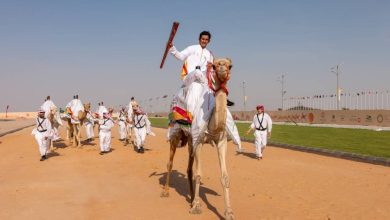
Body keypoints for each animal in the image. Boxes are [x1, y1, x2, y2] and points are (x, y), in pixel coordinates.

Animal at [161, 57, 235, 219]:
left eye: (230, 65)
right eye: (214, 65)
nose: (222, 68)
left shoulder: (221, 141)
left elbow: (225, 177)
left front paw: (229, 212)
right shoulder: (199, 141)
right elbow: (199, 174)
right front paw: (196, 206)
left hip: (190, 141)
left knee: (189, 169)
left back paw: (190, 197)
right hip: (176, 133)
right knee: (170, 163)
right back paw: (166, 191)